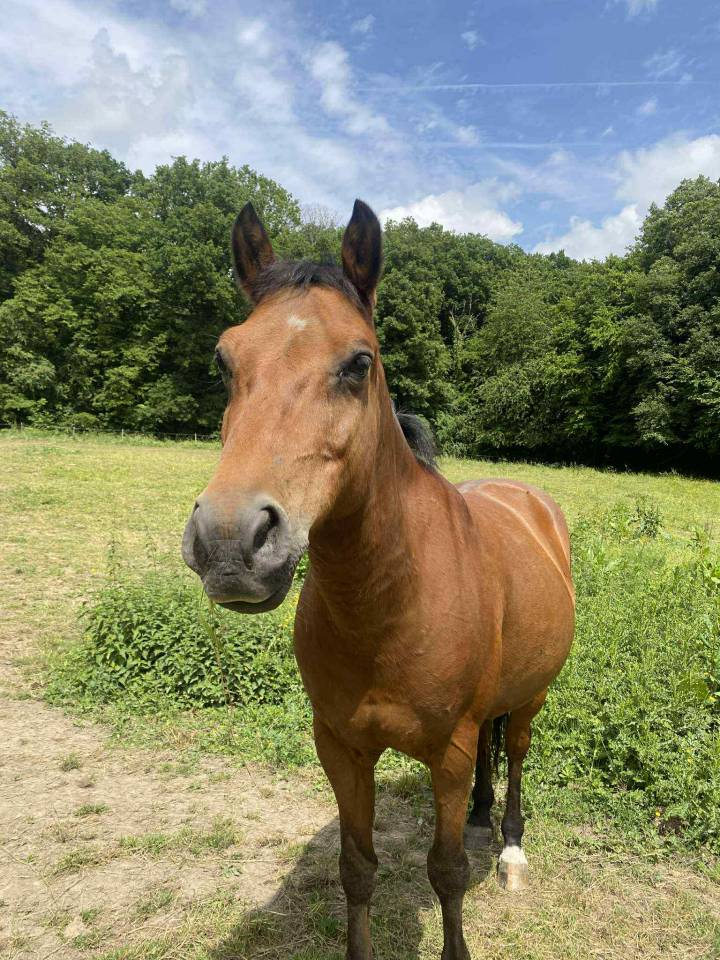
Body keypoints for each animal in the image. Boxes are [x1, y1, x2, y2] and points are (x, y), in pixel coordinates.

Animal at [182, 199, 575, 960]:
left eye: (358, 363)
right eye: (224, 360)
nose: (230, 543)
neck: (390, 603)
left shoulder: (446, 752)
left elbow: (446, 872)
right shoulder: (341, 746)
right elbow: (357, 868)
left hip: (532, 696)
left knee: (513, 754)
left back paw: (510, 847)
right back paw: (482, 816)